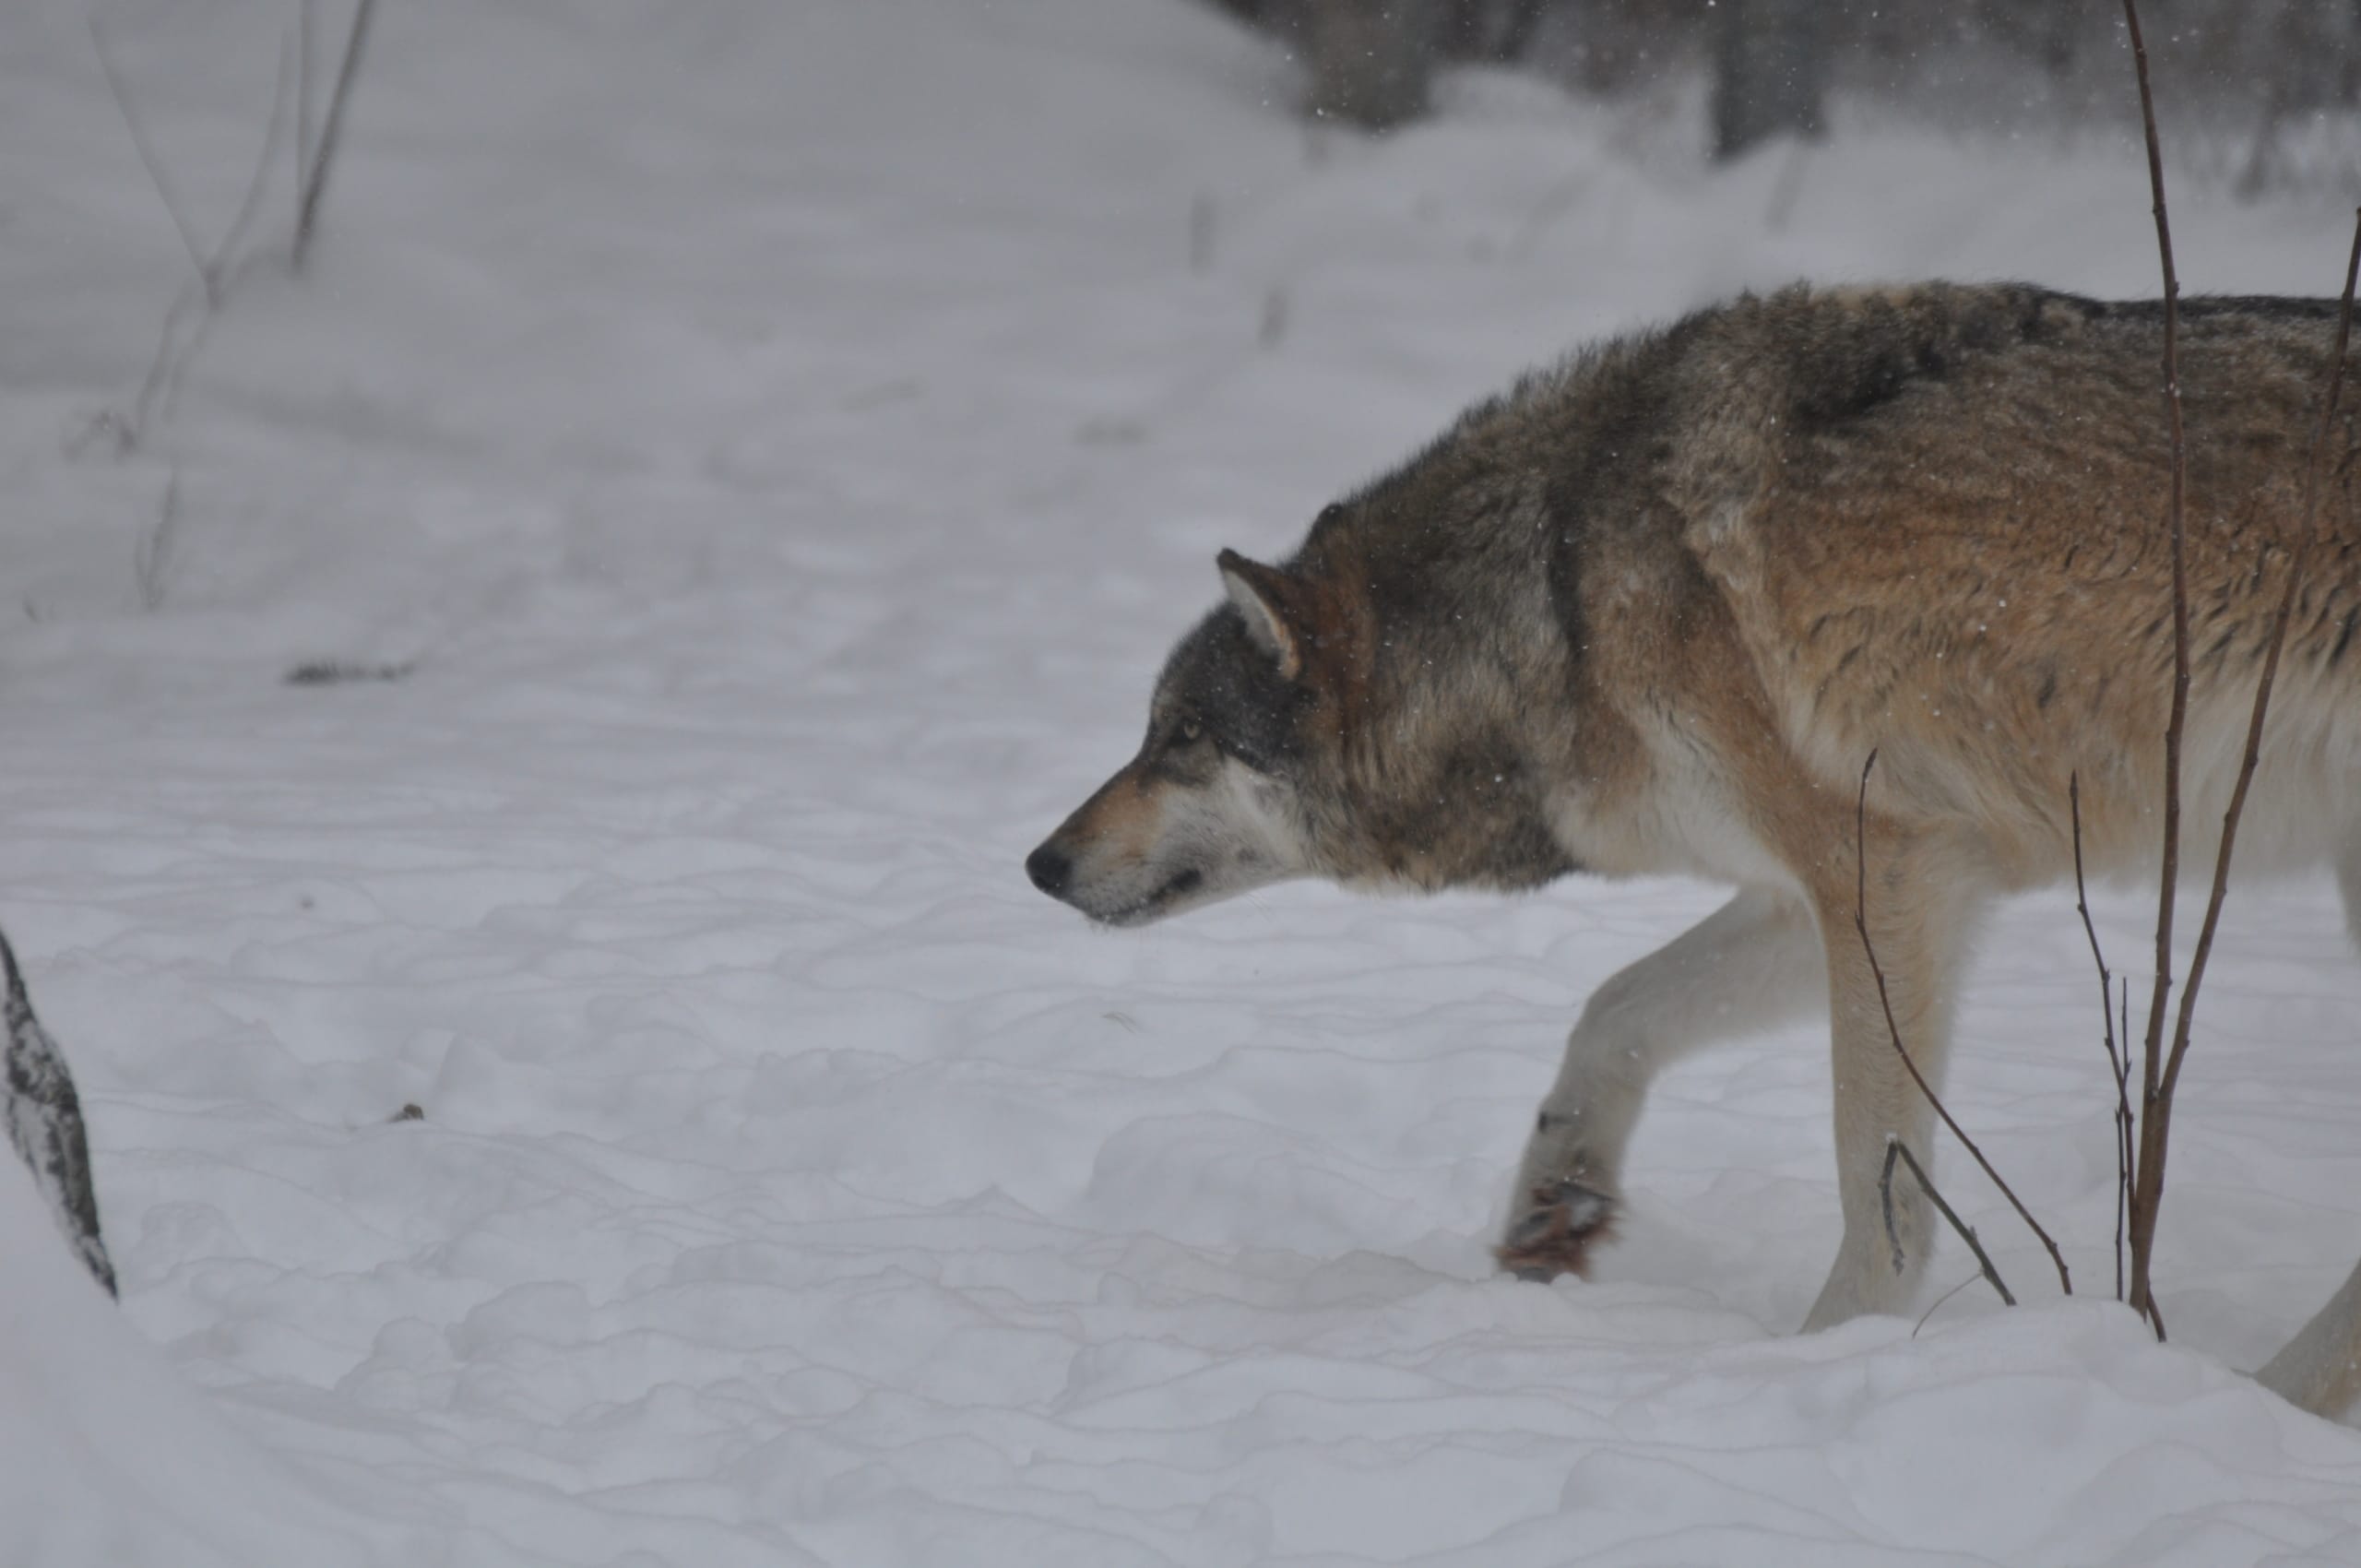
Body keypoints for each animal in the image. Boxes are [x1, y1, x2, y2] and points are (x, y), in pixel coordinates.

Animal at [1038, 284, 2361, 1417]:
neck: (1558, 594)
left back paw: (2266, 1398)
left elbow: (1881, 1192)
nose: (1038, 864)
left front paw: (1818, 1360)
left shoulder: (1885, 874)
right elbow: (1613, 1008)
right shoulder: (1822, 893)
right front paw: (1556, 1202)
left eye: (1181, 738)